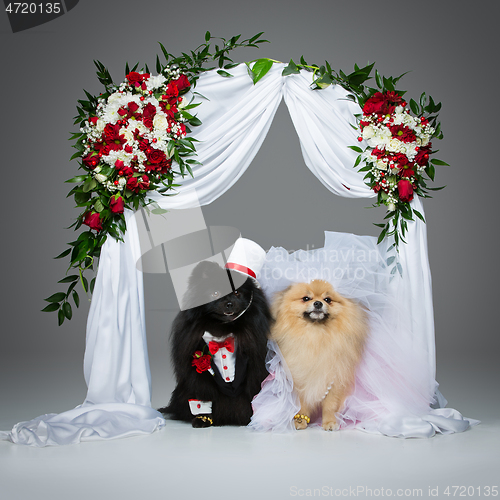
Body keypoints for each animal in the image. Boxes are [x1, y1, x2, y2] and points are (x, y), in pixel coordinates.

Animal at [158, 260, 272, 428]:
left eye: (237, 293)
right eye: (216, 294)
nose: (229, 303)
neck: (223, 330)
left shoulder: (254, 368)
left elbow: (254, 393)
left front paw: (252, 417)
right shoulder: (198, 374)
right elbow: (202, 398)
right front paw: (203, 419)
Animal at [270, 280, 368, 432]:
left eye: (327, 299)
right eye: (306, 298)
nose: (318, 303)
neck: (316, 335)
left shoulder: (336, 378)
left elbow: (330, 405)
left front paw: (329, 422)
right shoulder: (300, 378)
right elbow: (302, 404)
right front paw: (300, 421)